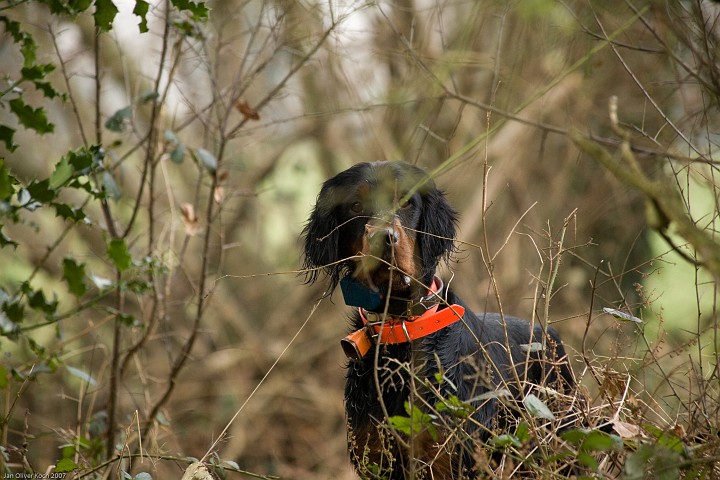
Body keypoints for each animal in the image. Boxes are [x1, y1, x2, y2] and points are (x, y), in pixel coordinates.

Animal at [302, 162, 572, 480]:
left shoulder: (446, 458)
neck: (401, 331)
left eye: (407, 201)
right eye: (355, 205)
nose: (385, 238)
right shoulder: (376, 458)